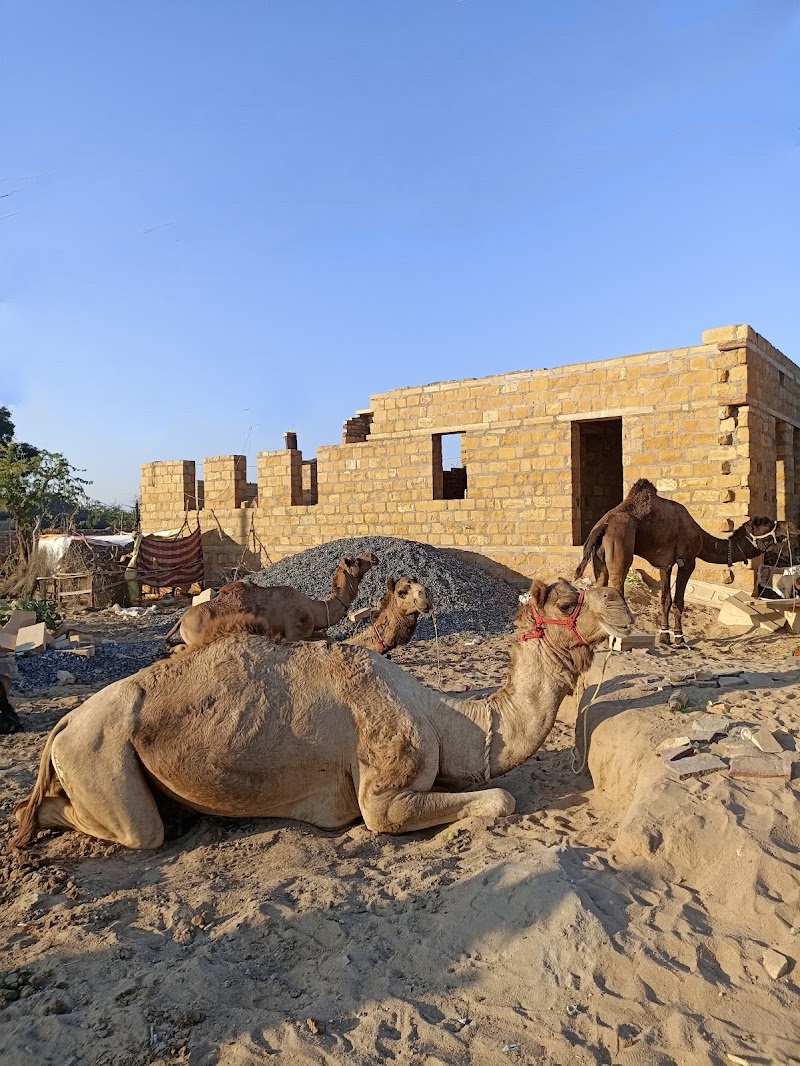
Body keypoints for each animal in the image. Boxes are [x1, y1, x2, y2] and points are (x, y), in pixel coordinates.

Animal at [10, 578, 633, 850]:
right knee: (135, 830)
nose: (627, 608)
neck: (439, 714)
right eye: (569, 600)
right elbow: (500, 798)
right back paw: (30, 825)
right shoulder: (383, 798)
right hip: (97, 753)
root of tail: (63, 725)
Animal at [163, 554, 378, 649]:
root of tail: (181, 620)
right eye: (357, 561)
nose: (374, 557)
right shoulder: (295, 633)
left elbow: (328, 636)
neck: (314, 607)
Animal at [575, 478, 794, 646]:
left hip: (599, 558)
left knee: (600, 584)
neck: (702, 538)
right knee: (617, 585)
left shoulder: (665, 564)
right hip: (621, 546)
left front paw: (664, 637)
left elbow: (665, 599)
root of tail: (602, 526)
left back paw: (602, 639)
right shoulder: (687, 561)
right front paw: (680, 639)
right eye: (767, 524)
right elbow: (679, 600)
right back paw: (617, 639)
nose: (790, 526)